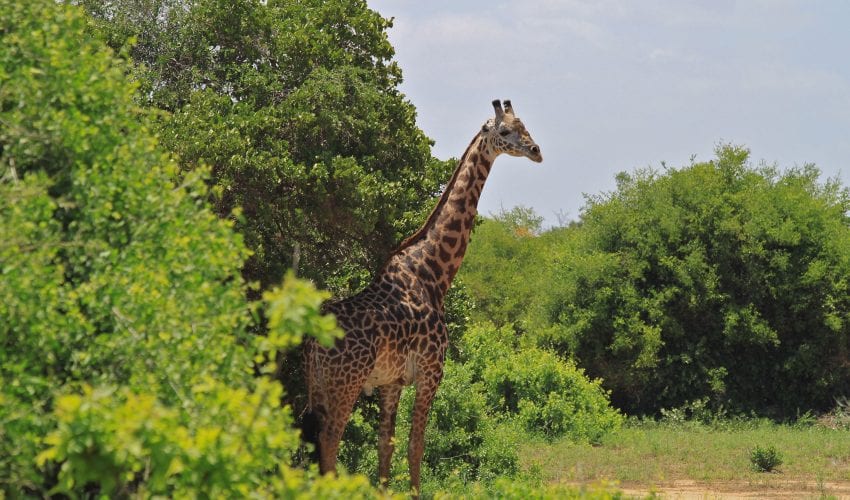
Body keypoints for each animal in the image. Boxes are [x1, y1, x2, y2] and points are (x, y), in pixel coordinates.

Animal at [303, 99, 542, 494]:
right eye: (506, 130)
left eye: (525, 126)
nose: (536, 151)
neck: (432, 274)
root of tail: (311, 344)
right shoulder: (432, 372)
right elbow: (416, 446)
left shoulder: (391, 382)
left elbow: (385, 446)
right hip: (344, 386)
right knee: (329, 442)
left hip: (317, 387)